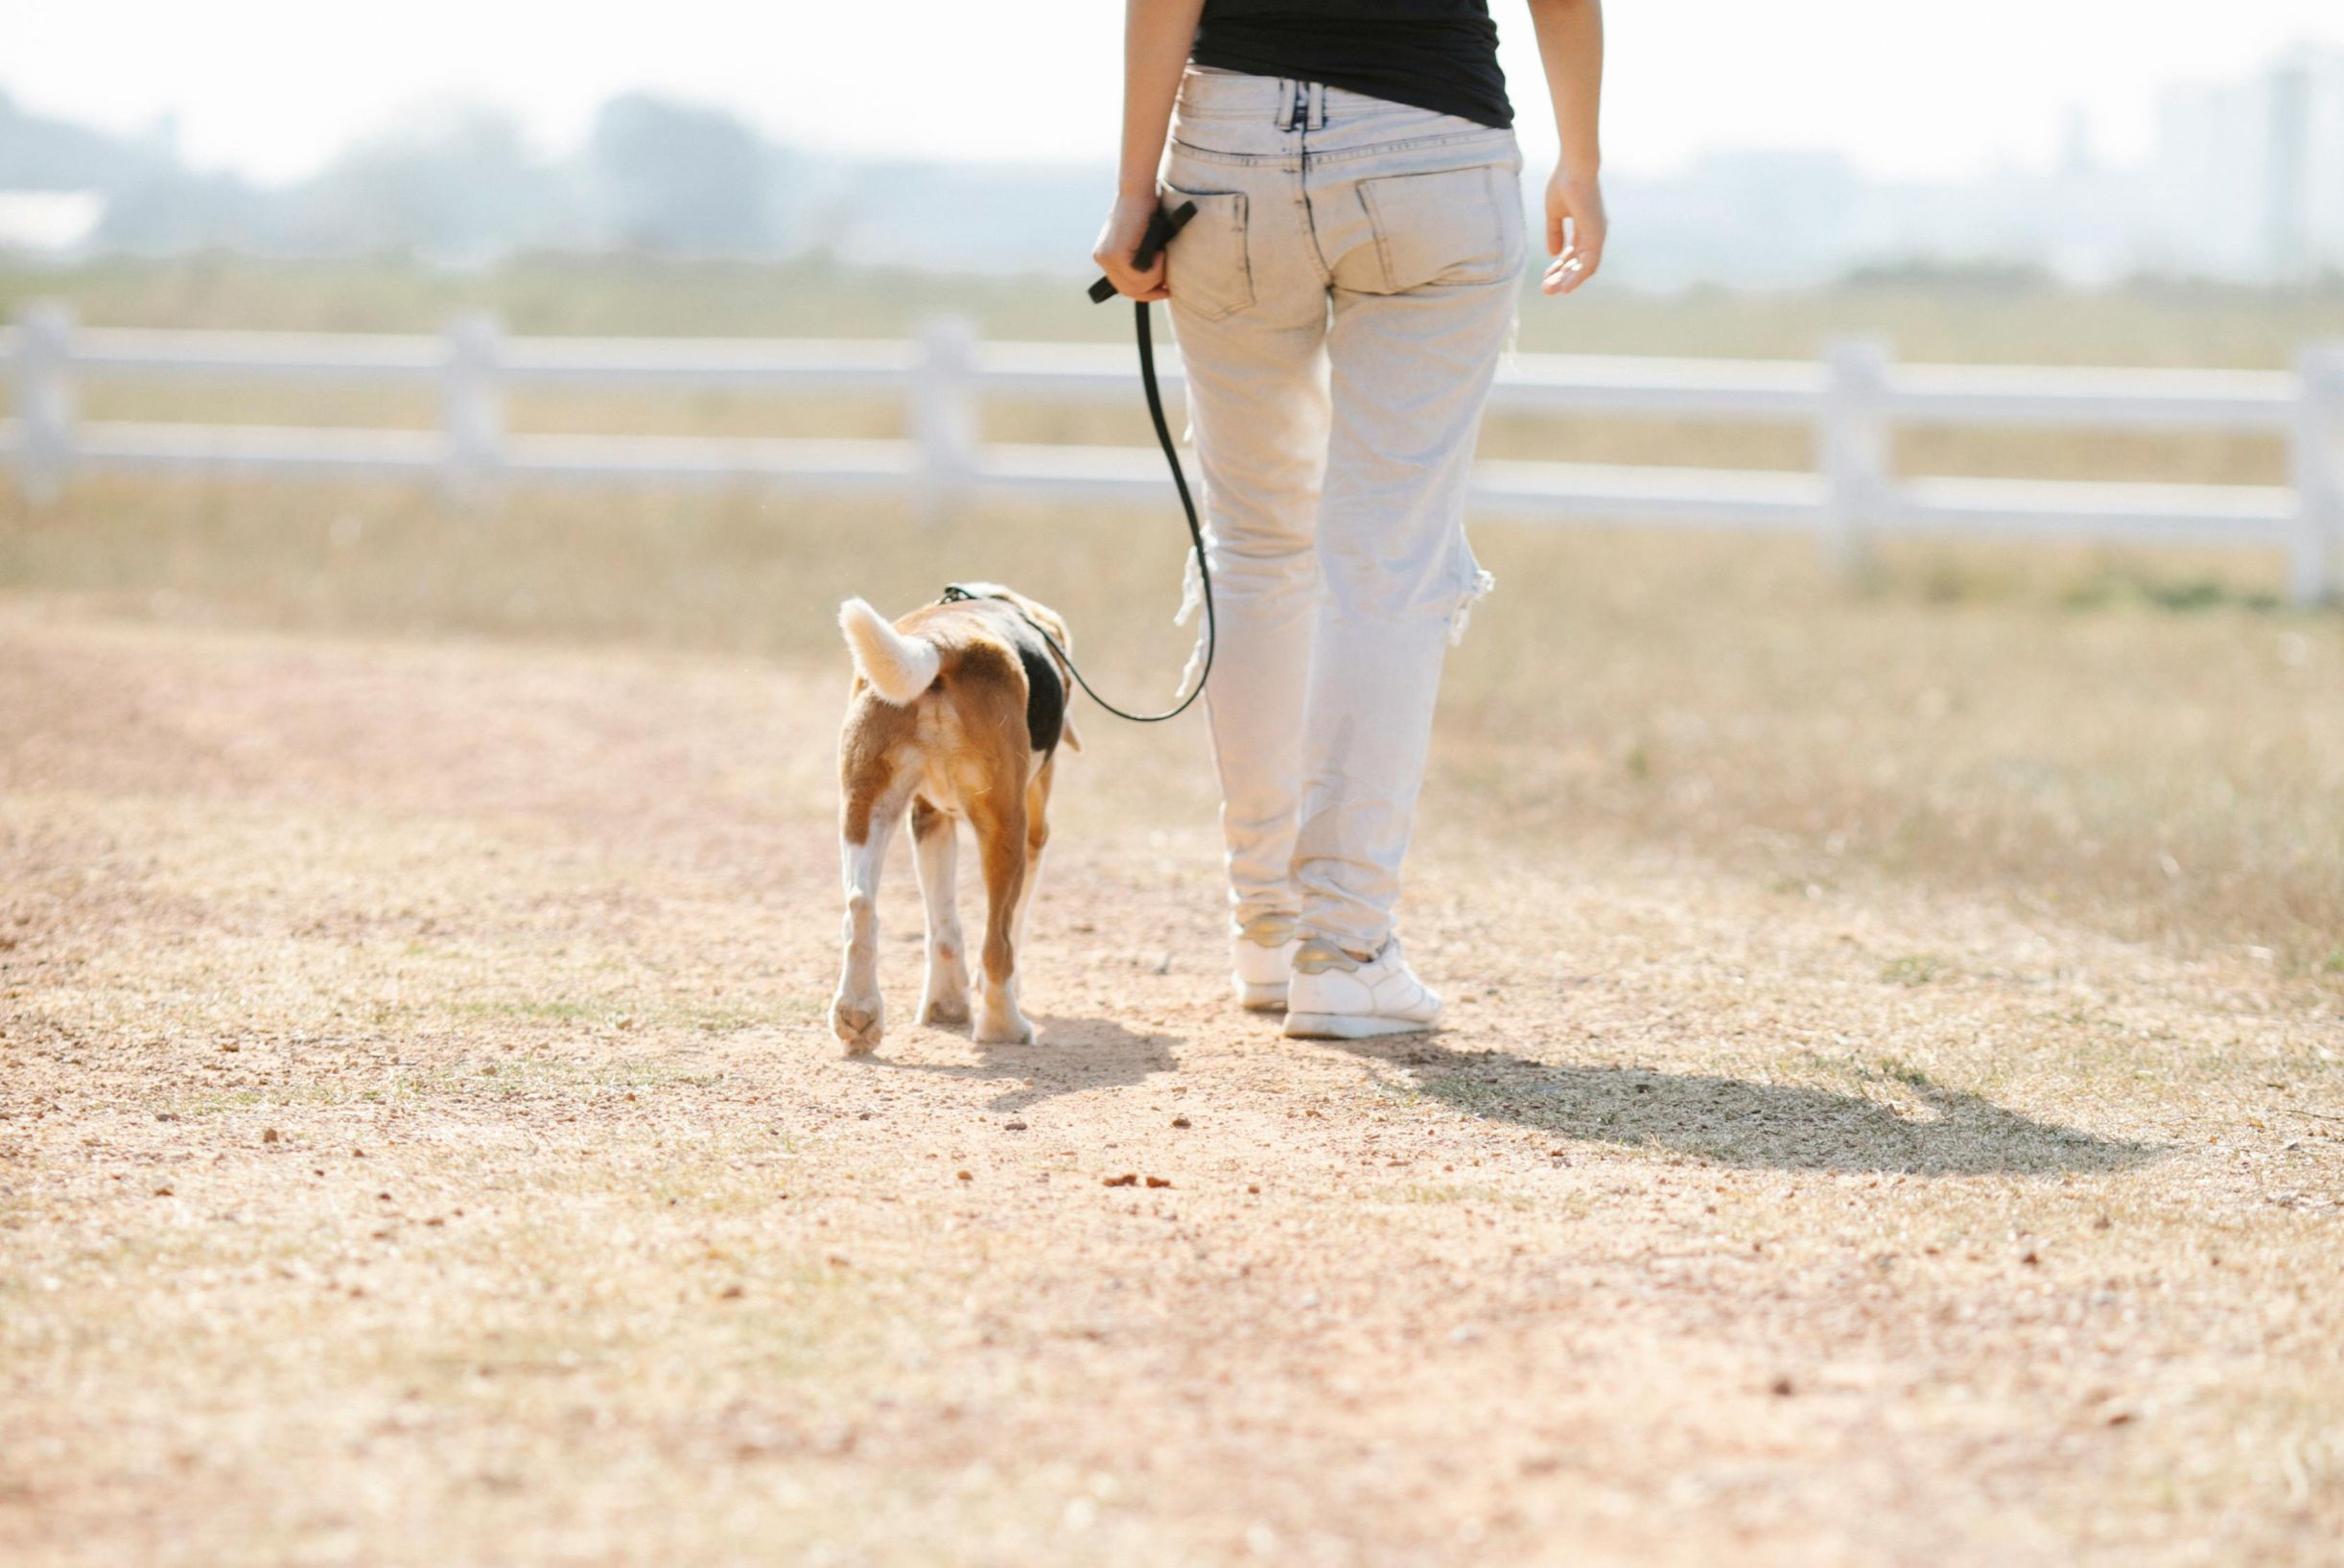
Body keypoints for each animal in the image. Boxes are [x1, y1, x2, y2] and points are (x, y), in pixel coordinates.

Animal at [830, 585, 1073, 1049]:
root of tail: (942, 642)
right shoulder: (1034, 829)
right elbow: (1013, 926)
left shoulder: (930, 819)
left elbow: (943, 925)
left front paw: (946, 1004)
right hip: (1006, 826)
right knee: (997, 943)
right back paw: (1004, 1026)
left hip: (865, 806)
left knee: (860, 904)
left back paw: (858, 1013)